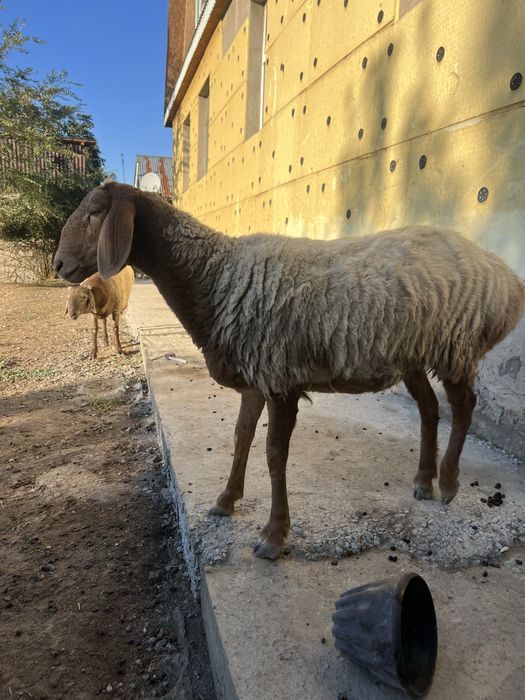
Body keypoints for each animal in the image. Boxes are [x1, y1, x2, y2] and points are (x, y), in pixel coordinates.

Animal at [54, 182, 525, 560]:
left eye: (95, 212)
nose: (58, 264)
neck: (215, 276)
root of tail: (504, 277)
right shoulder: (254, 378)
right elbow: (241, 437)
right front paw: (226, 500)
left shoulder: (280, 379)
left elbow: (274, 454)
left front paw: (274, 536)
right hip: (412, 353)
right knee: (429, 409)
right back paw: (424, 481)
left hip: (456, 345)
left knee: (464, 406)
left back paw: (448, 482)